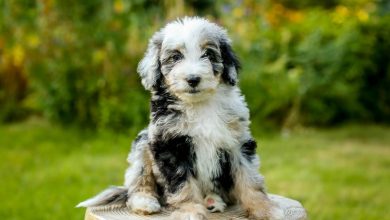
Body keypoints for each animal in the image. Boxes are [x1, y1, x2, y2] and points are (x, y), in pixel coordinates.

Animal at [77, 16, 284, 220]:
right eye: (175, 57)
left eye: (208, 55)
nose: (193, 79)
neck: (199, 104)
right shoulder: (170, 146)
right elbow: (182, 184)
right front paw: (190, 211)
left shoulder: (238, 142)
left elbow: (250, 179)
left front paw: (265, 209)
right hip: (143, 143)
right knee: (138, 180)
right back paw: (145, 201)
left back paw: (212, 200)